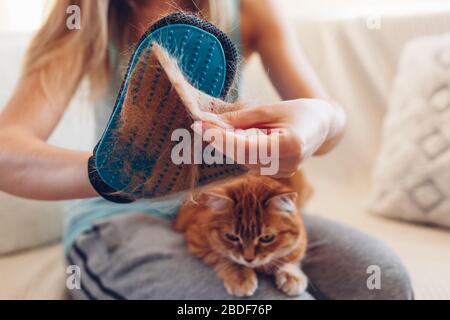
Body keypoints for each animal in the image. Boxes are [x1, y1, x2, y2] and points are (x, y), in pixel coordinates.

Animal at [176, 172, 312, 298]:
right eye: (232, 237)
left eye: (266, 238)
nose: (249, 259)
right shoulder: (197, 241)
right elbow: (226, 258)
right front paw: (240, 277)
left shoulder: (299, 241)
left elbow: (292, 256)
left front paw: (292, 275)